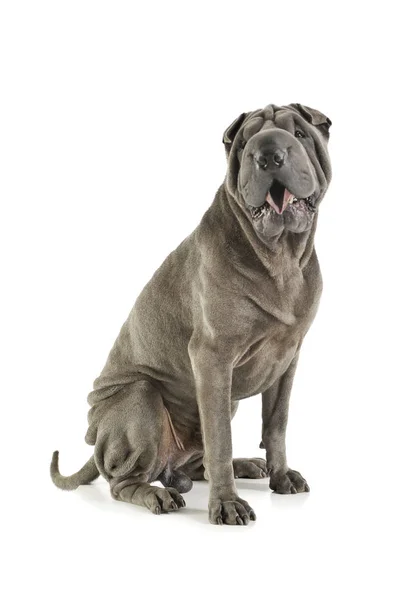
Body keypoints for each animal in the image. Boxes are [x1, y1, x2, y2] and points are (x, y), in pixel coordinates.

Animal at [51, 103, 334, 524]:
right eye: (246, 141)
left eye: (299, 133)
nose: (268, 154)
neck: (279, 254)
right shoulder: (212, 357)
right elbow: (220, 438)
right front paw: (227, 504)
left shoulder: (288, 359)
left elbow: (276, 424)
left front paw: (282, 477)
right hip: (141, 397)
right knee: (123, 481)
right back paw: (158, 494)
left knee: (194, 465)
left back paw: (245, 465)